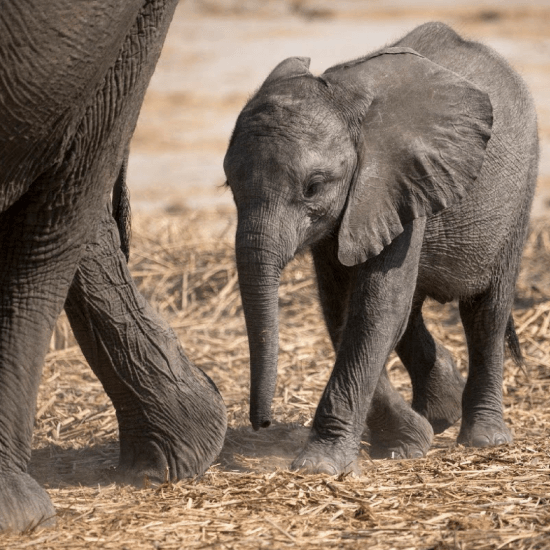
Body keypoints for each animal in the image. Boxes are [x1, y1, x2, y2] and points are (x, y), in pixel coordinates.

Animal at [223, 23, 540, 476]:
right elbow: (344, 309)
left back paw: (483, 439)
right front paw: (406, 445)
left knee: (486, 311)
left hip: (519, 191)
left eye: (313, 187)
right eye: (229, 185)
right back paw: (441, 413)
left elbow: (374, 309)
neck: (342, 101)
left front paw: (319, 466)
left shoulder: (394, 182)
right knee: (414, 309)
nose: (261, 423)